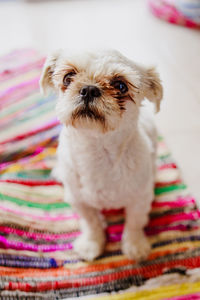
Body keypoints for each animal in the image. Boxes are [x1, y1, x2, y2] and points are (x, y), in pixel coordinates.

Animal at [39, 48, 163, 260]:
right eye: (68, 77)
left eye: (121, 86)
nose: (89, 89)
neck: (96, 153)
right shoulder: (79, 200)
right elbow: (91, 223)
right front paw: (92, 244)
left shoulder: (139, 199)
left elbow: (134, 223)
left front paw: (135, 245)